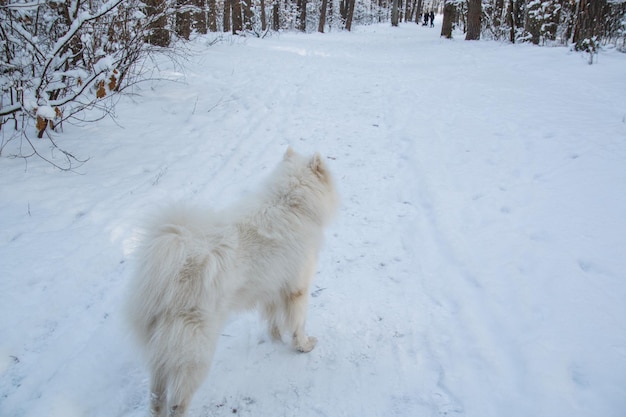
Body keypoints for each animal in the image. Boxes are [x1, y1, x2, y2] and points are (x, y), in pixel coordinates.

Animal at [123, 148, 336, 416]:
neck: (290, 203)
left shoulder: (273, 289)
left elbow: (274, 319)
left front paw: (276, 338)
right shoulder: (298, 289)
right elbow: (298, 324)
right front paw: (304, 346)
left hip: (162, 351)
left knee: (156, 396)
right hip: (196, 353)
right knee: (177, 403)